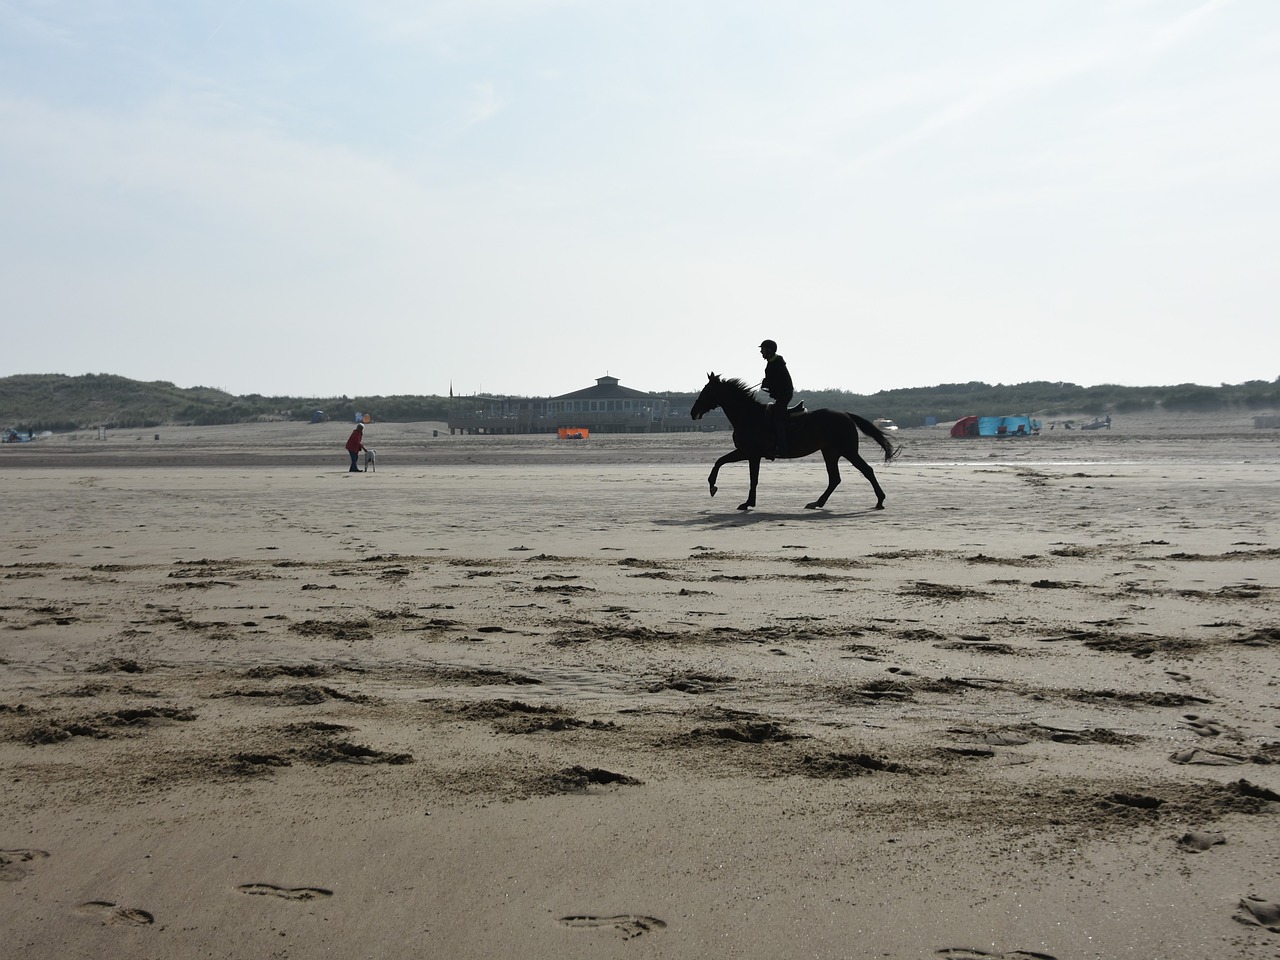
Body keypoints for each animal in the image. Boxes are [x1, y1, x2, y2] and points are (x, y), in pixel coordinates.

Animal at [691, 373, 901, 512]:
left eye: (707, 391)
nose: (693, 412)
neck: (750, 416)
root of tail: (845, 414)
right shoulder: (750, 454)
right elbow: (728, 466)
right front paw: (745, 500)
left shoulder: (749, 453)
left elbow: (731, 467)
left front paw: (716, 488)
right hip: (830, 452)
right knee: (835, 478)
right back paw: (817, 503)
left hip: (847, 451)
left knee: (866, 471)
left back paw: (880, 500)